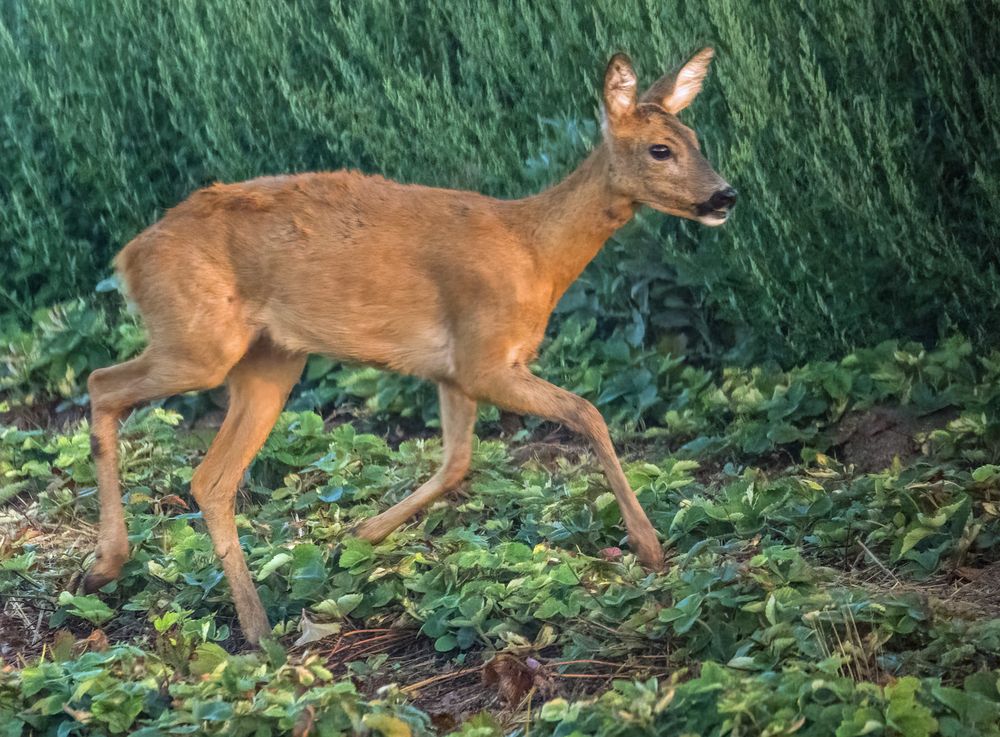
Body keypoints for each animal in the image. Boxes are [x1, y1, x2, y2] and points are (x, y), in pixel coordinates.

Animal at [86, 49, 740, 640]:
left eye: (695, 137)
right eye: (660, 149)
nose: (725, 196)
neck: (536, 252)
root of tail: (129, 256)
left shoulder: (453, 373)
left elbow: (457, 463)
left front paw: (361, 535)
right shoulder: (482, 357)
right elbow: (588, 412)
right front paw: (650, 547)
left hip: (271, 361)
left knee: (211, 477)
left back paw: (253, 627)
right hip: (200, 341)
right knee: (102, 384)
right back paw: (113, 566)